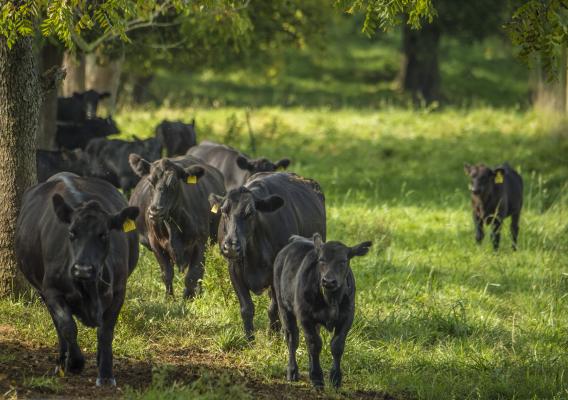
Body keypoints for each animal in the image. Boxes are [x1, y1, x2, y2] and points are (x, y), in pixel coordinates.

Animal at [15, 173, 139, 386]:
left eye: (104, 234)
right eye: (72, 232)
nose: (83, 269)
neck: (88, 288)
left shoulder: (119, 291)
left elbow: (105, 333)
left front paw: (106, 374)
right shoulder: (51, 290)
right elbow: (67, 326)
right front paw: (75, 362)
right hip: (41, 290)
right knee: (58, 324)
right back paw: (62, 361)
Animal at [130, 155, 225, 298]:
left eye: (174, 183)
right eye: (150, 181)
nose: (155, 211)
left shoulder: (201, 242)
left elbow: (193, 276)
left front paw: (190, 298)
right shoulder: (155, 244)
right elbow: (167, 274)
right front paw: (169, 299)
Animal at [207, 172, 324, 340]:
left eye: (250, 213)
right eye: (223, 211)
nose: (231, 246)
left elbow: (273, 308)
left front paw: (274, 335)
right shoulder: (234, 269)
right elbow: (247, 308)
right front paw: (249, 338)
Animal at [272, 233, 370, 390]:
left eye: (343, 261)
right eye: (321, 260)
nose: (329, 281)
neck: (330, 299)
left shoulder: (347, 317)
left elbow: (337, 345)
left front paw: (335, 378)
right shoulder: (305, 316)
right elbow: (314, 344)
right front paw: (317, 378)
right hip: (283, 307)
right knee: (292, 338)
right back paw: (292, 371)